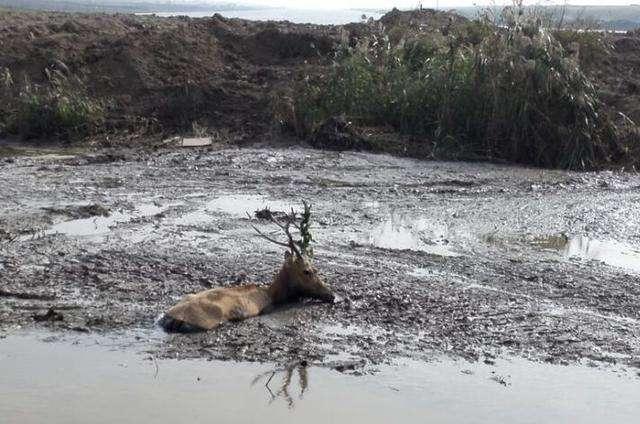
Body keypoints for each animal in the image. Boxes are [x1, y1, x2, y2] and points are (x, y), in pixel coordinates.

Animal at [158, 200, 336, 332]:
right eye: (307, 271)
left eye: (316, 269)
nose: (332, 295)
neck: (271, 293)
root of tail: (171, 318)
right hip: (209, 320)